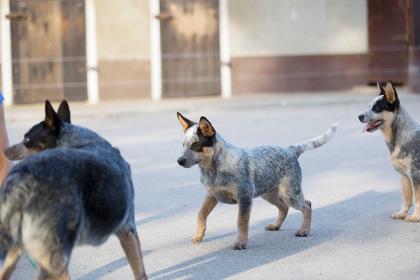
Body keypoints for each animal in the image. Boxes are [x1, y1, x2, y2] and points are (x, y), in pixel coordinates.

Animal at [0, 101, 148, 280]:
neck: (79, 141)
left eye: (27, 139)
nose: (4, 151)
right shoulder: (128, 230)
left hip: (14, 250)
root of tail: (21, 181)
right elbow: (141, 272)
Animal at [176, 112, 338, 250]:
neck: (213, 168)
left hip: (290, 194)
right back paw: (275, 226)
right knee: (284, 207)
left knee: (307, 205)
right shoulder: (212, 195)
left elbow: (241, 222)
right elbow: (201, 214)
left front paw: (241, 242)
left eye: (195, 145)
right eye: (183, 145)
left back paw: (304, 230)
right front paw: (198, 235)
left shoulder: (245, 197)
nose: (179, 160)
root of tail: (290, 150)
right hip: (269, 193)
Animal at [358, 81, 420, 223]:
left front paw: (415, 216)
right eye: (368, 106)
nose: (359, 116)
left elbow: (417, 199)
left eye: (376, 108)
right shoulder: (404, 176)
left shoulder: (415, 175)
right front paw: (402, 213)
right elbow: (406, 197)